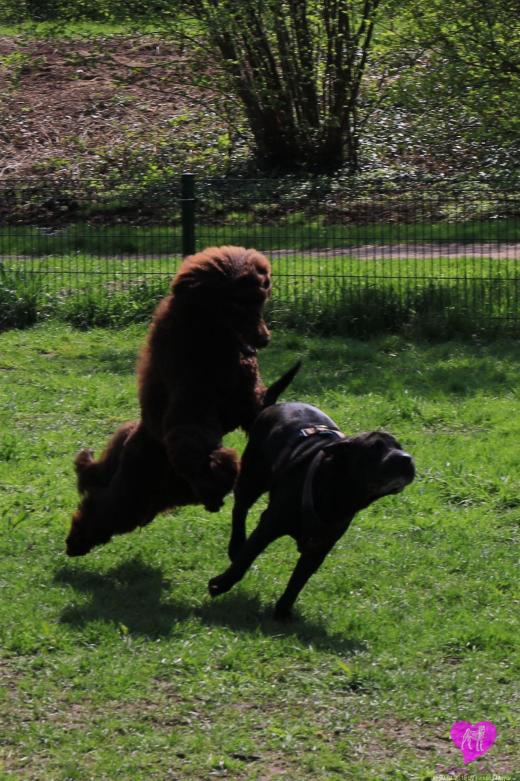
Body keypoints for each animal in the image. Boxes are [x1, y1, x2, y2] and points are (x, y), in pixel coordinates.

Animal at [208, 402, 415, 620]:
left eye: (399, 447)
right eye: (374, 448)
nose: (406, 458)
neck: (339, 493)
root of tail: (279, 404)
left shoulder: (319, 546)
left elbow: (298, 581)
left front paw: (283, 611)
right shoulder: (269, 525)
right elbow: (246, 558)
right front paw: (220, 584)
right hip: (253, 476)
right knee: (240, 509)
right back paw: (236, 544)